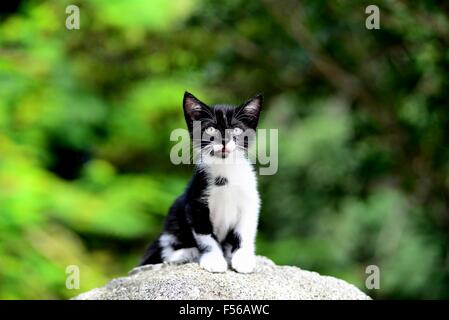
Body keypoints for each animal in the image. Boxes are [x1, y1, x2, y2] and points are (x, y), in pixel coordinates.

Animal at [138, 91, 260, 274]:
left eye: (237, 130)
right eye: (211, 129)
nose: (224, 141)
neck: (225, 173)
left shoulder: (250, 200)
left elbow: (243, 232)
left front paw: (243, 259)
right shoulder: (195, 203)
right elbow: (206, 236)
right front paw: (214, 260)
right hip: (175, 214)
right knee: (166, 246)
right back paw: (186, 254)